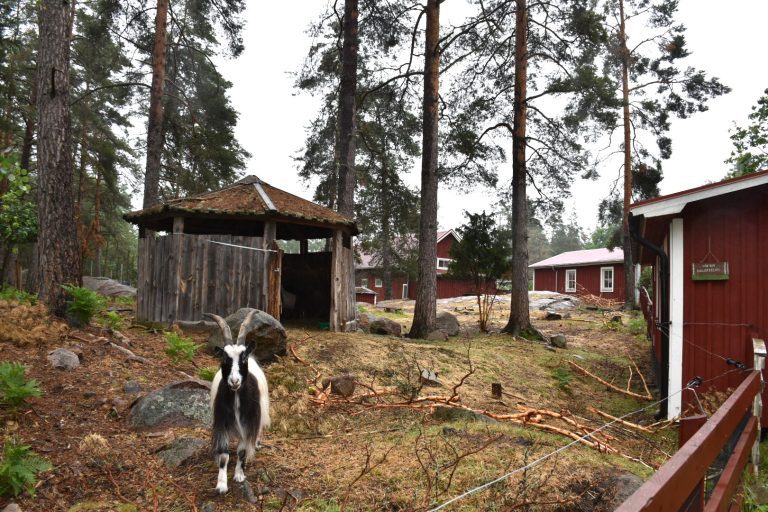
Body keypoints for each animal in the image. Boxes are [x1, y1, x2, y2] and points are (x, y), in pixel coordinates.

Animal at [207, 310, 270, 494]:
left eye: (243, 358)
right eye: (224, 359)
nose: (234, 381)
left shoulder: (248, 424)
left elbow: (242, 451)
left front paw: (239, 475)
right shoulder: (222, 423)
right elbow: (224, 455)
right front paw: (221, 484)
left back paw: (256, 445)